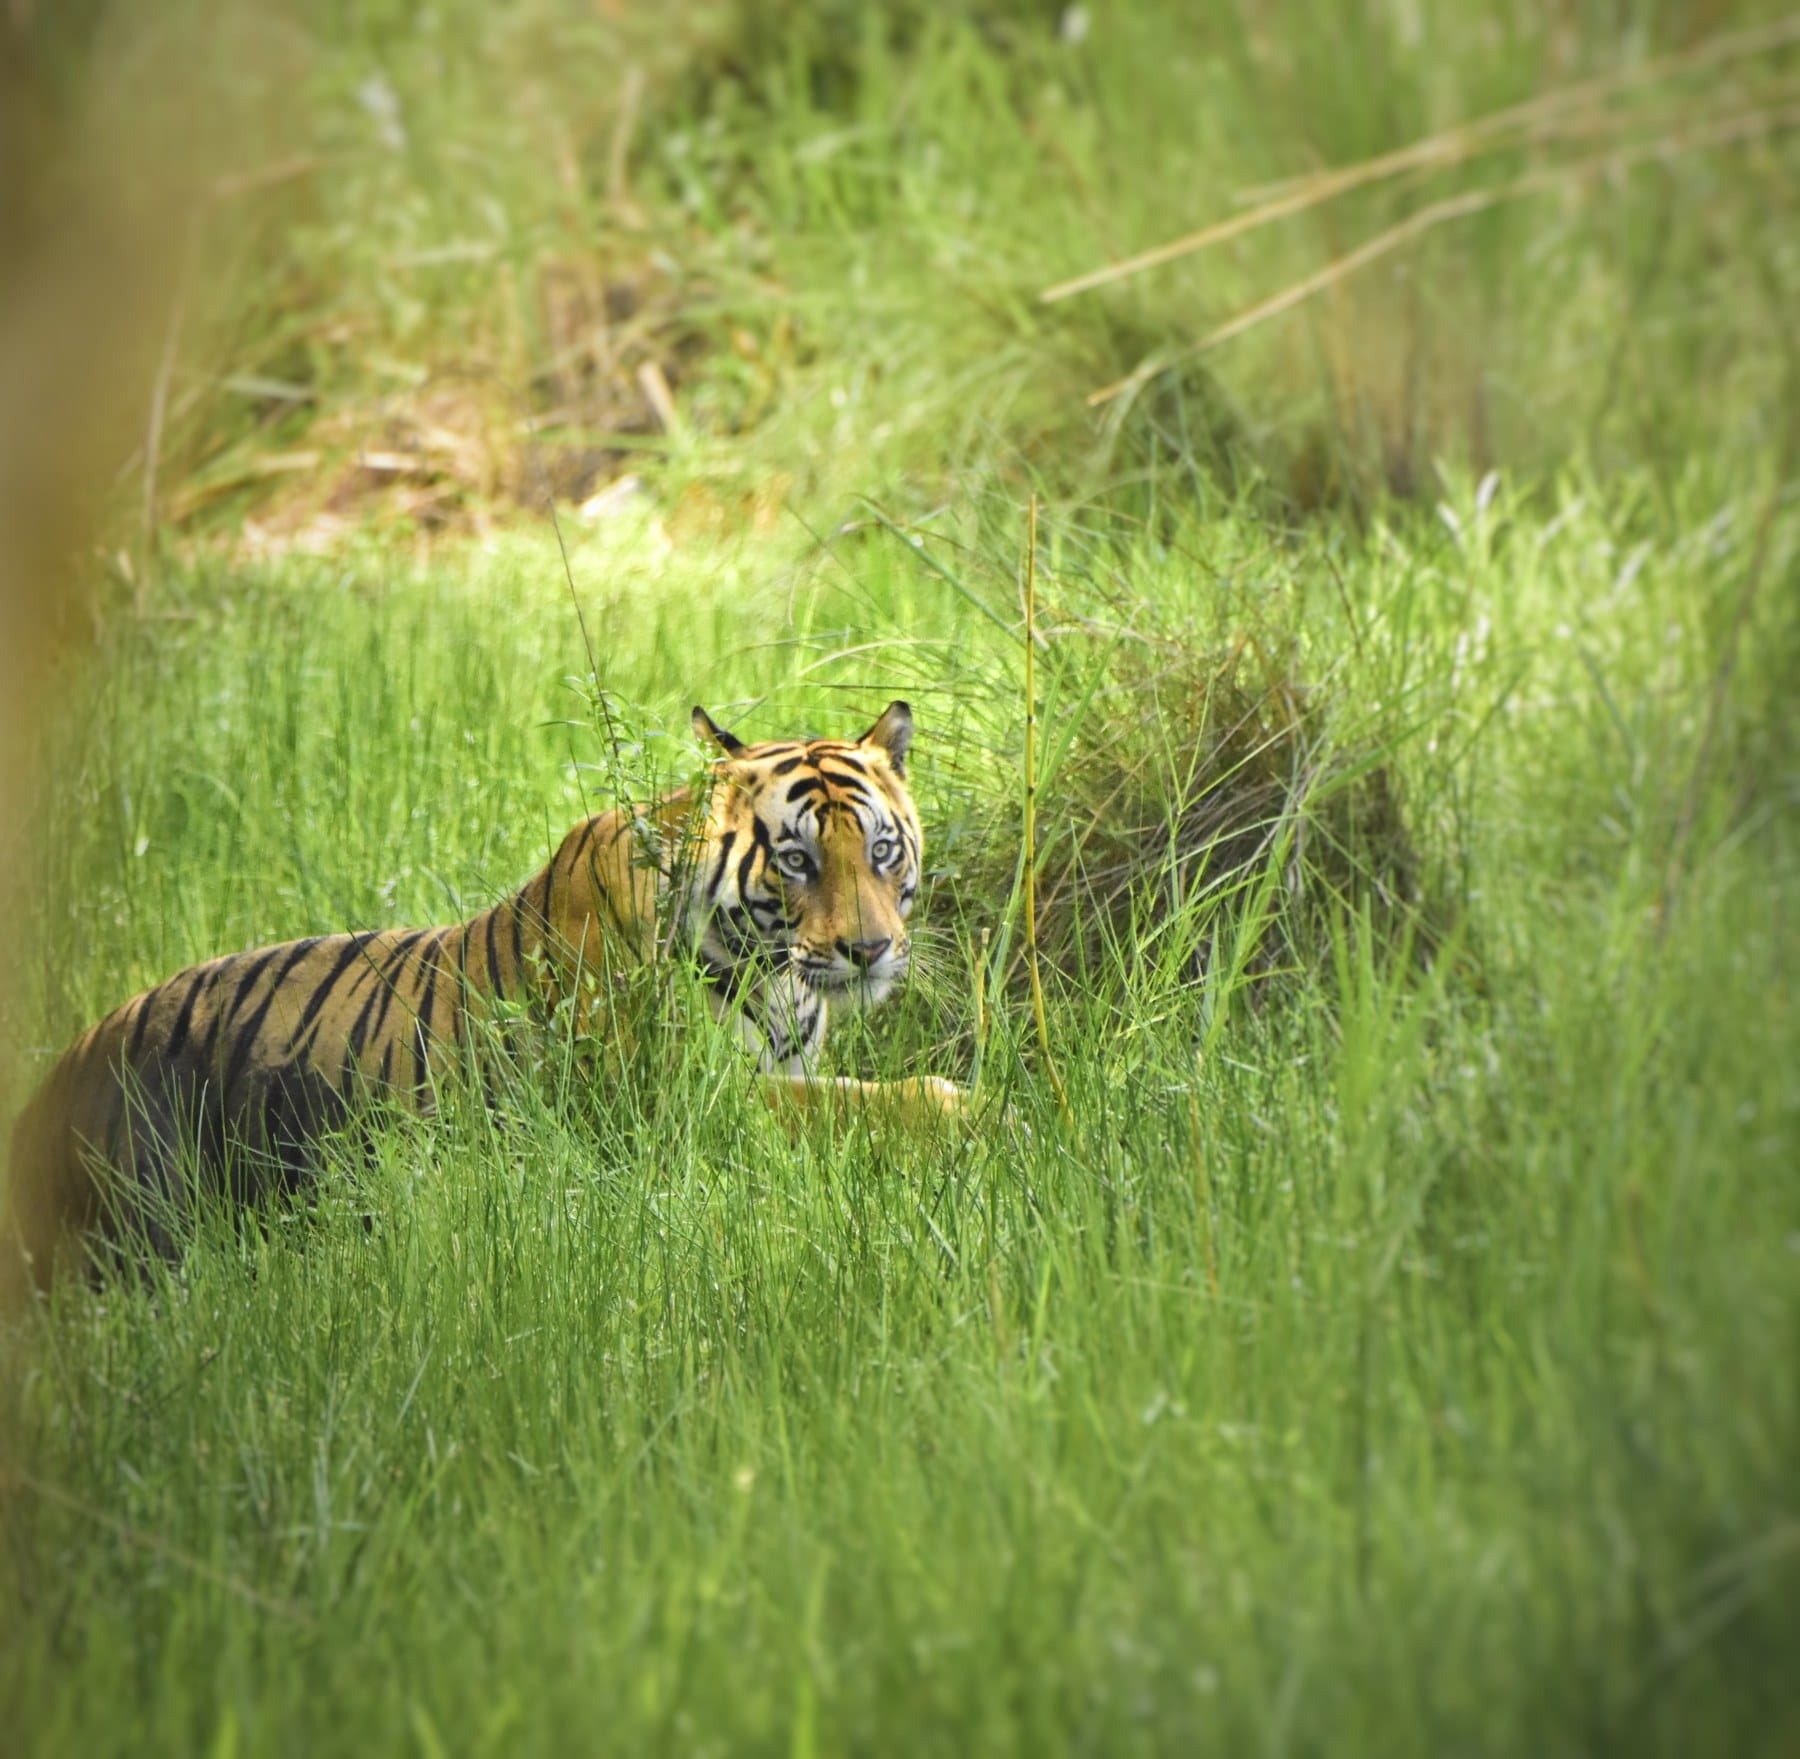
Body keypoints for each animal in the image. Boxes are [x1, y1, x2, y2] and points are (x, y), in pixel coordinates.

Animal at [3, 700, 963, 1292]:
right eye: (797, 858)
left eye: (881, 850)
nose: (871, 949)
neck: (774, 973)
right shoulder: (681, 1106)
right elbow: (886, 1103)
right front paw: (978, 1117)